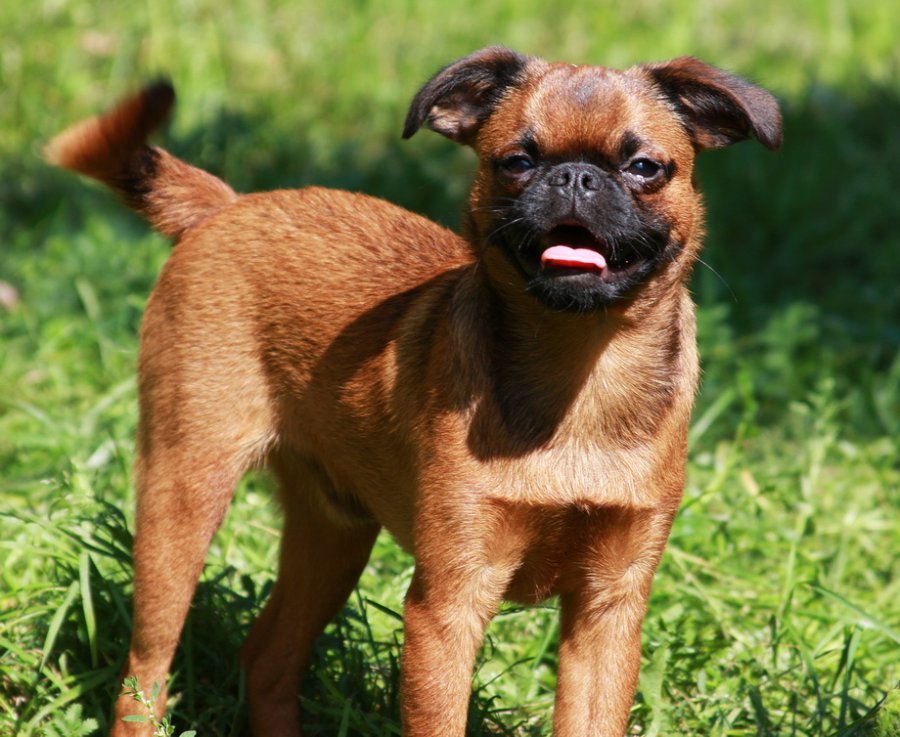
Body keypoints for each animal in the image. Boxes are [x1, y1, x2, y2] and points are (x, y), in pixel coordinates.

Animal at [47, 46, 780, 736]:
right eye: (517, 162)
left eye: (645, 168)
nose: (575, 176)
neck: (581, 380)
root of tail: (227, 206)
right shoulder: (448, 605)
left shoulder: (608, 609)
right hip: (182, 500)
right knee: (145, 675)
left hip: (334, 533)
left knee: (268, 657)